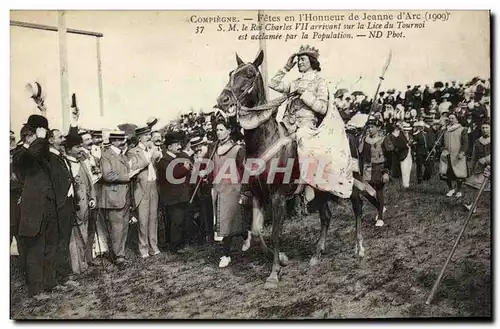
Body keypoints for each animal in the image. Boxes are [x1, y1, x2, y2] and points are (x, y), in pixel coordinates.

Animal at [215, 49, 382, 288]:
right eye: (231, 73)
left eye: (249, 74)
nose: (223, 99)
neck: (264, 142)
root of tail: (352, 133)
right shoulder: (257, 194)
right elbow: (256, 232)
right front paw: (282, 259)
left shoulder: (278, 197)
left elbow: (275, 232)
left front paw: (274, 273)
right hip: (320, 189)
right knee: (326, 217)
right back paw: (316, 254)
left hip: (349, 181)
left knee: (357, 206)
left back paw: (359, 248)